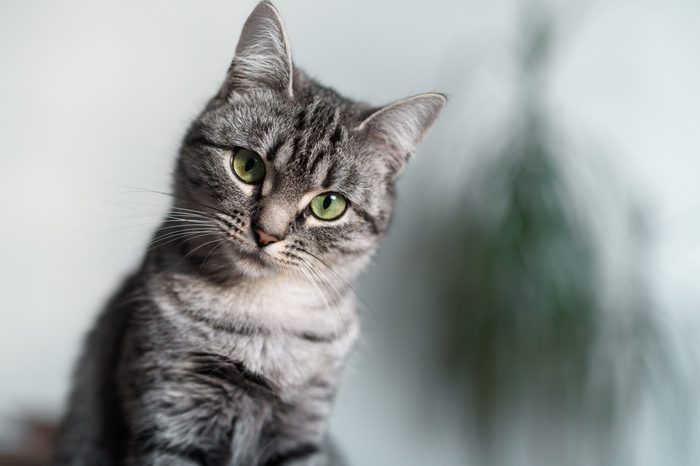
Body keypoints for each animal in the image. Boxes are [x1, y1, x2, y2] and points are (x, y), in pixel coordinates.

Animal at [50, 1, 442, 464]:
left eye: (329, 205)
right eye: (247, 165)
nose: (266, 233)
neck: (262, 318)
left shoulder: (302, 428)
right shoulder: (170, 414)